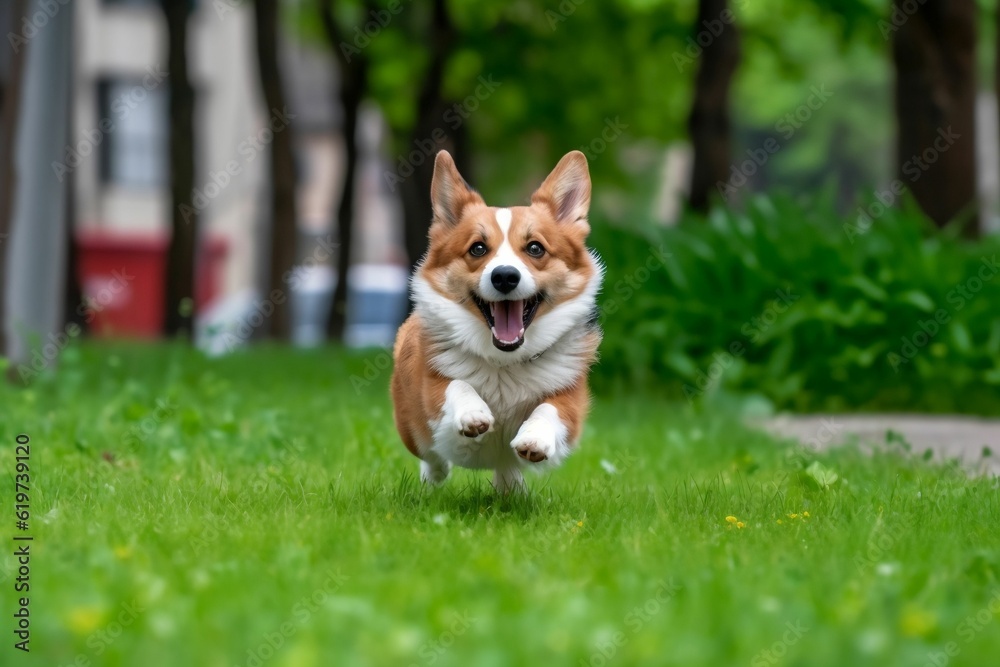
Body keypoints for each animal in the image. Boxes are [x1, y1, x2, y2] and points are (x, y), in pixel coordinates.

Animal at [390, 153, 600, 496]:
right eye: (477, 248)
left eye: (535, 248)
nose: (504, 276)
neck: (505, 360)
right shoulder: (433, 393)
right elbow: (457, 384)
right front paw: (473, 413)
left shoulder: (570, 400)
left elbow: (549, 410)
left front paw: (534, 438)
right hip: (410, 427)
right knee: (431, 455)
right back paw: (433, 478)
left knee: (506, 465)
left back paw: (513, 490)